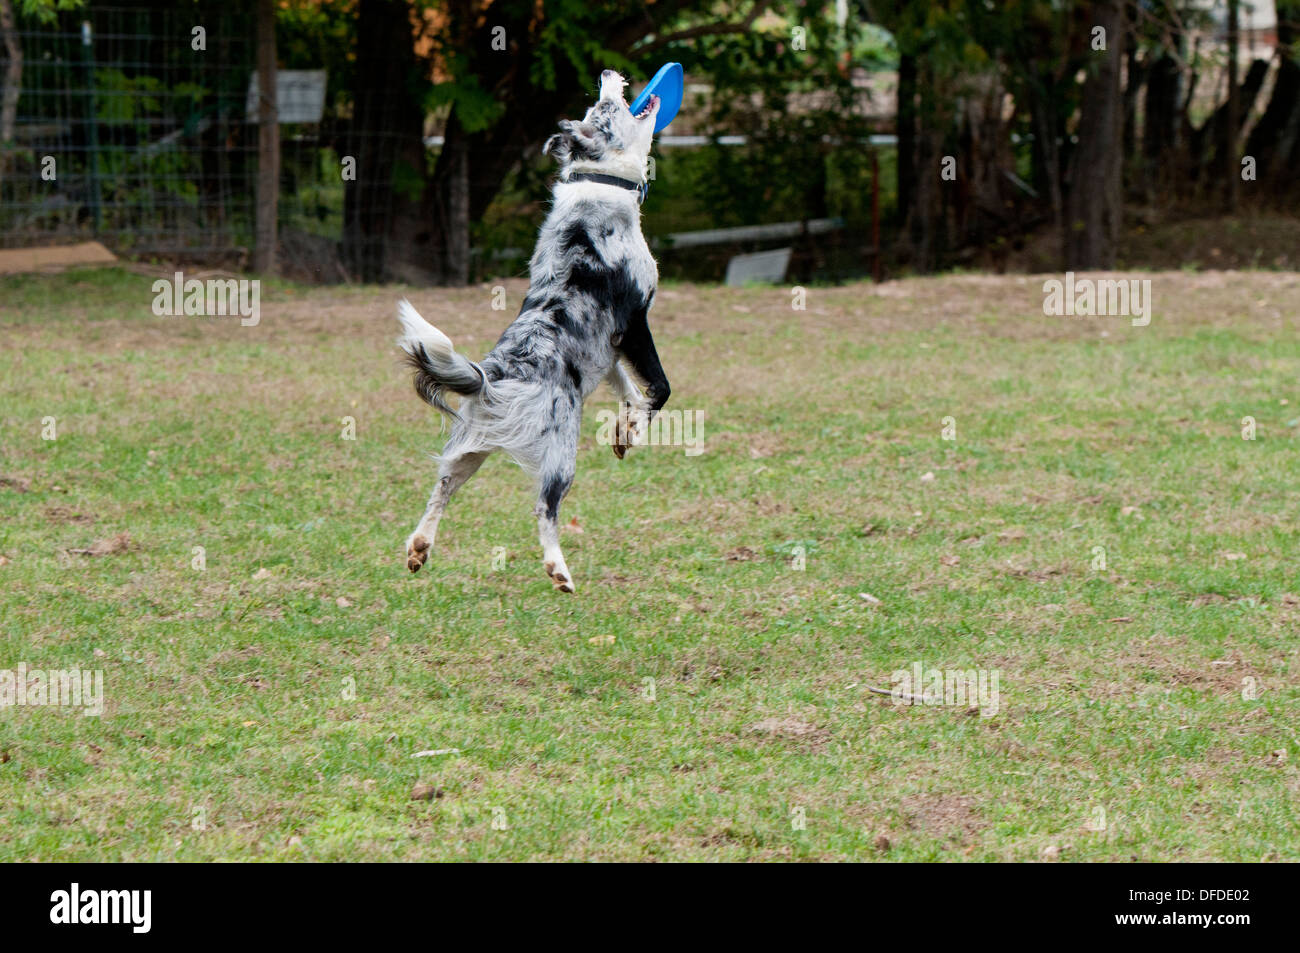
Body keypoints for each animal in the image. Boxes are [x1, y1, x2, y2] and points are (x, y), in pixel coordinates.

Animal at [395, 70, 670, 595]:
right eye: (604, 109)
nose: (607, 74)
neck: (600, 183)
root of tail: (494, 374)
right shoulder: (636, 322)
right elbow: (659, 389)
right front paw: (637, 423)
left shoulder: (607, 351)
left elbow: (629, 389)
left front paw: (625, 430)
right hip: (561, 454)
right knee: (545, 507)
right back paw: (558, 570)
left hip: (469, 449)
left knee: (441, 487)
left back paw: (420, 547)